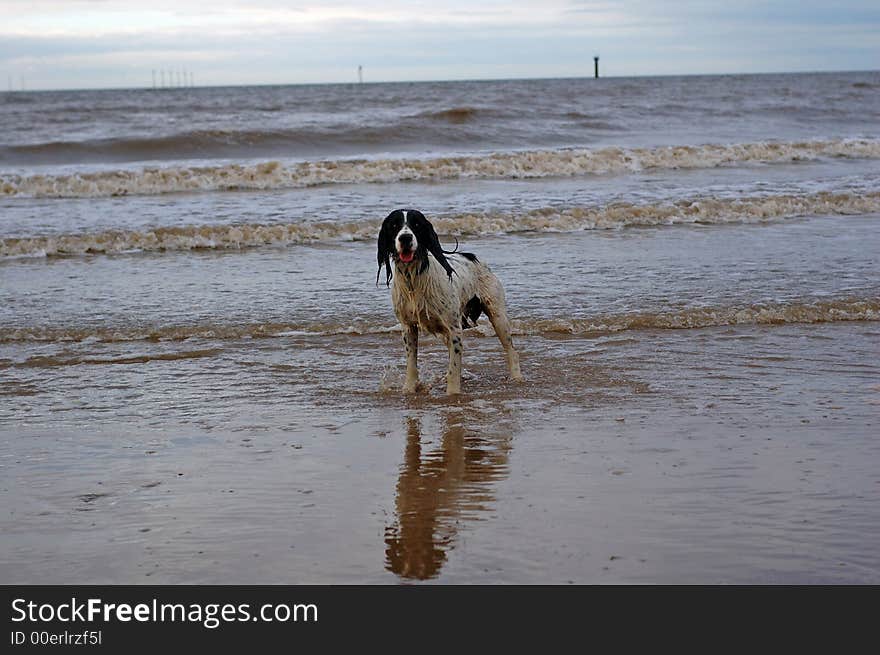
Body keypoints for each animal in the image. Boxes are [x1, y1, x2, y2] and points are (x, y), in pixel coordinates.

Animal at [372, 210, 524, 394]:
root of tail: (473, 257)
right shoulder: (408, 327)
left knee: (511, 350)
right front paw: (409, 388)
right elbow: (412, 363)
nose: (405, 238)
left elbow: (454, 367)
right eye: (394, 225)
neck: (414, 279)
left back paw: (517, 377)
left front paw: (452, 393)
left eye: (416, 224)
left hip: (498, 316)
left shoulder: (454, 329)